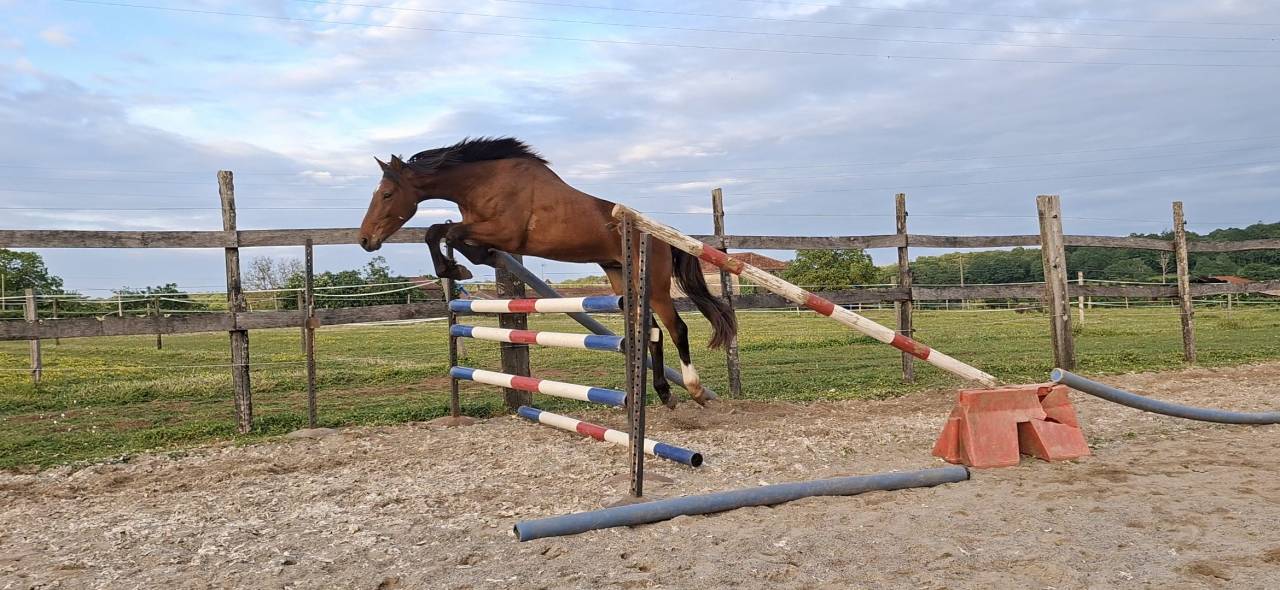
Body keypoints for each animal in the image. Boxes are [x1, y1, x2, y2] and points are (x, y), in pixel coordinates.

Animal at [356, 137, 736, 407]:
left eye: (387, 194)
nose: (365, 239)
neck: (482, 182)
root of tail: (661, 232)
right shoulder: (481, 228)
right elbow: (441, 232)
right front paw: (464, 264)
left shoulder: (504, 232)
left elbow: (443, 232)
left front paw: (460, 265)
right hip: (620, 276)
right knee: (652, 332)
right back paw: (664, 394)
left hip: (653, 284)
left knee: (676, 328)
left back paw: (694, 390)